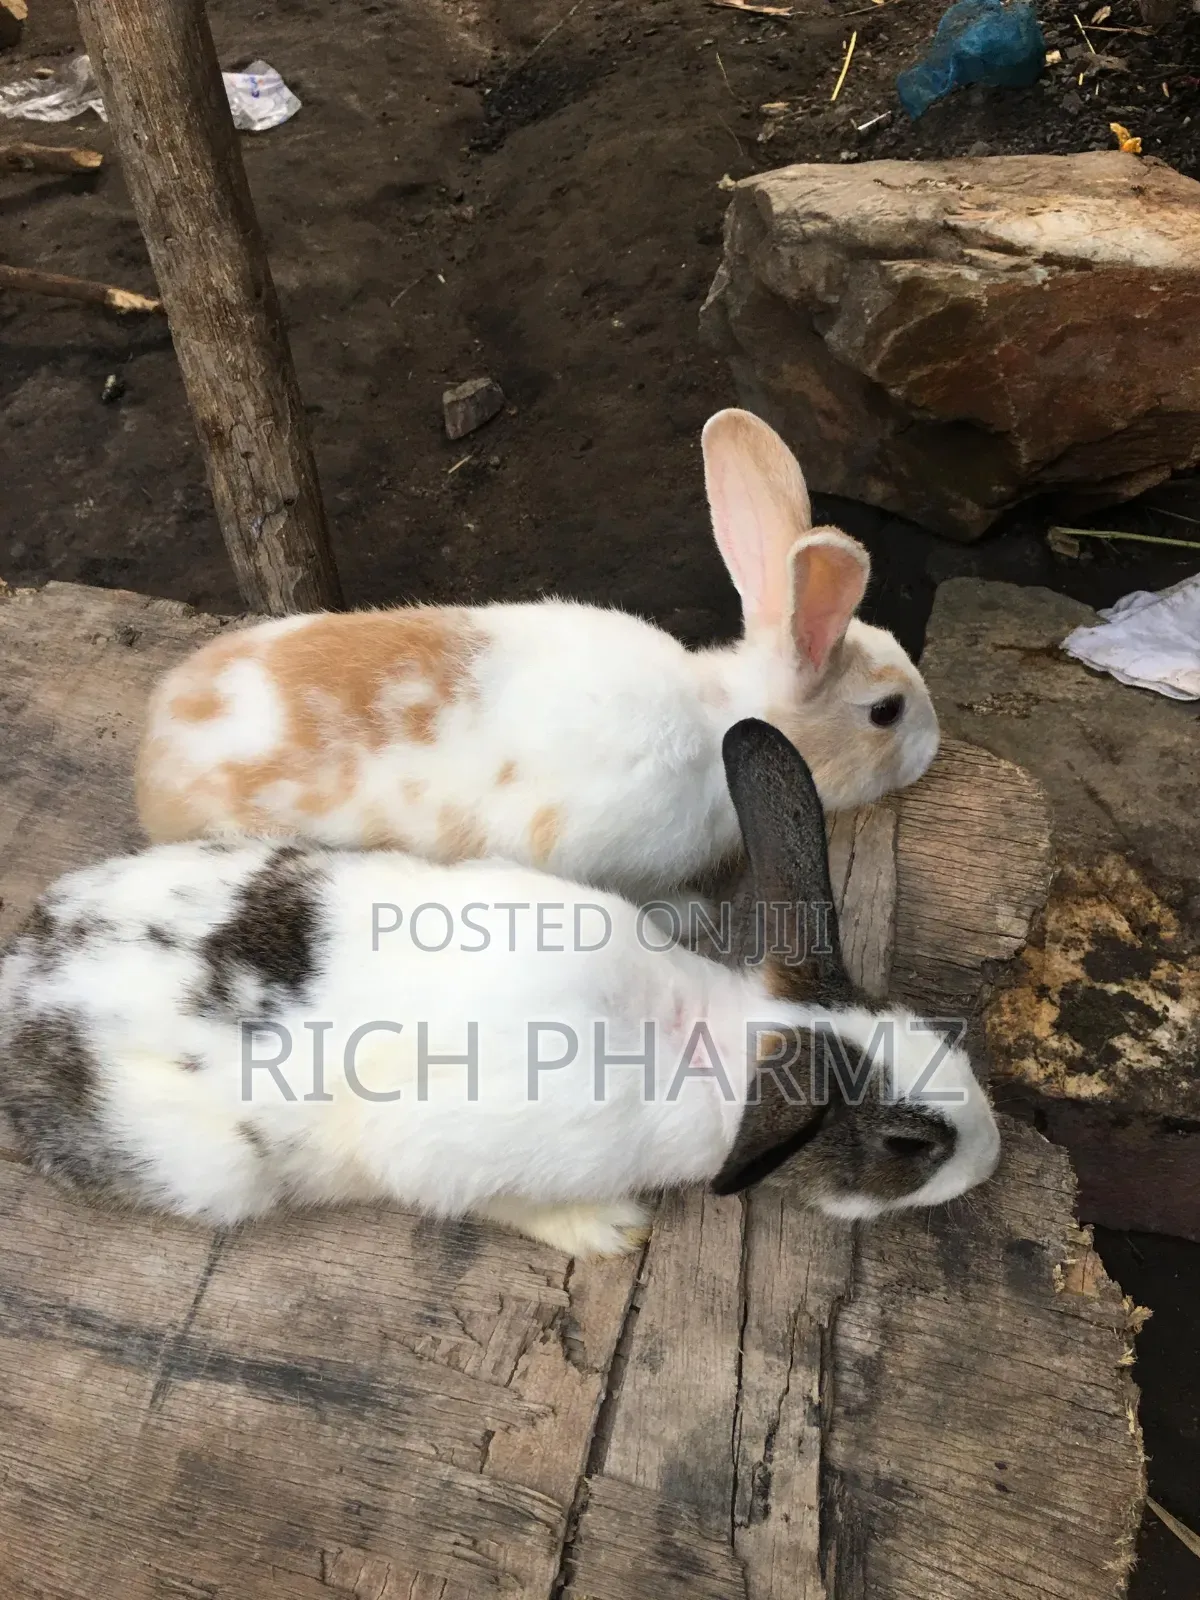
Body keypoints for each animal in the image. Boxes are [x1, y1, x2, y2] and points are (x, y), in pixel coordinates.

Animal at [0, 719, 998, 1257]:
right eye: (909, 1144)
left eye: (927, 1029)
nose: (992, 1160)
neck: (702, 1038)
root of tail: (23, 972)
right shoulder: (441, 1150)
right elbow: (491, 1200)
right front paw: (606, 1231)